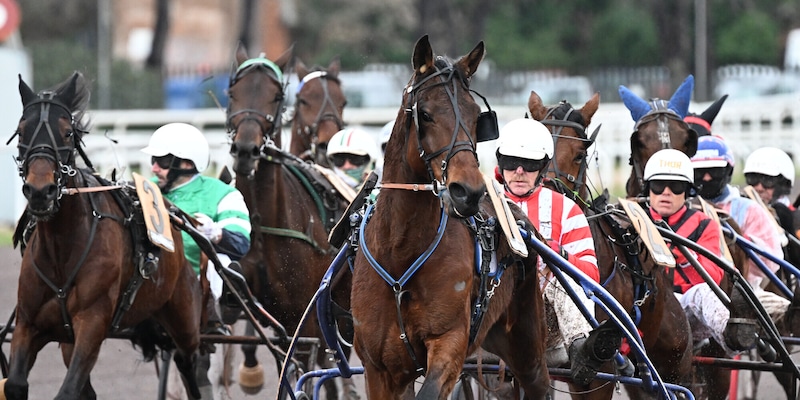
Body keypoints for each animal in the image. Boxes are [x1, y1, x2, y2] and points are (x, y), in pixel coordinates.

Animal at [3, 72, 203, 400]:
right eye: (21, 131)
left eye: (67, 132)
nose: (40, 192)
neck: (62, 249)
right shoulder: (29, 324)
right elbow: (16, 384)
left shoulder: (92, 323)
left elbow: (67, 391)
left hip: (183, 317)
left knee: (190, 364)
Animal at [352, 34, 552, 400]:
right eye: (426, 114)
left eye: (475, 117)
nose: (469, 191)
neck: (400, 253)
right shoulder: (378, 366)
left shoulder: (450, 341)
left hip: (525, 340)